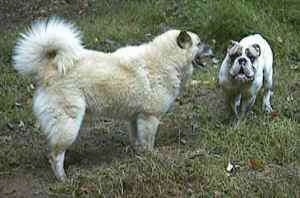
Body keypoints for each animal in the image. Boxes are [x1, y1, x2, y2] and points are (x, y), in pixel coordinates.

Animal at [12, 18, 212, 181]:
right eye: (199, 43)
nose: (212, 50)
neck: (166, 60)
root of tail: (49, 68)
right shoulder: (150, 117)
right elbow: (148, 143)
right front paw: (152, 159)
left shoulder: (136, 118)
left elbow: (137, 140)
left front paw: (139, 156)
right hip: (68, 125)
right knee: (55, 156)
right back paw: (63, 179)